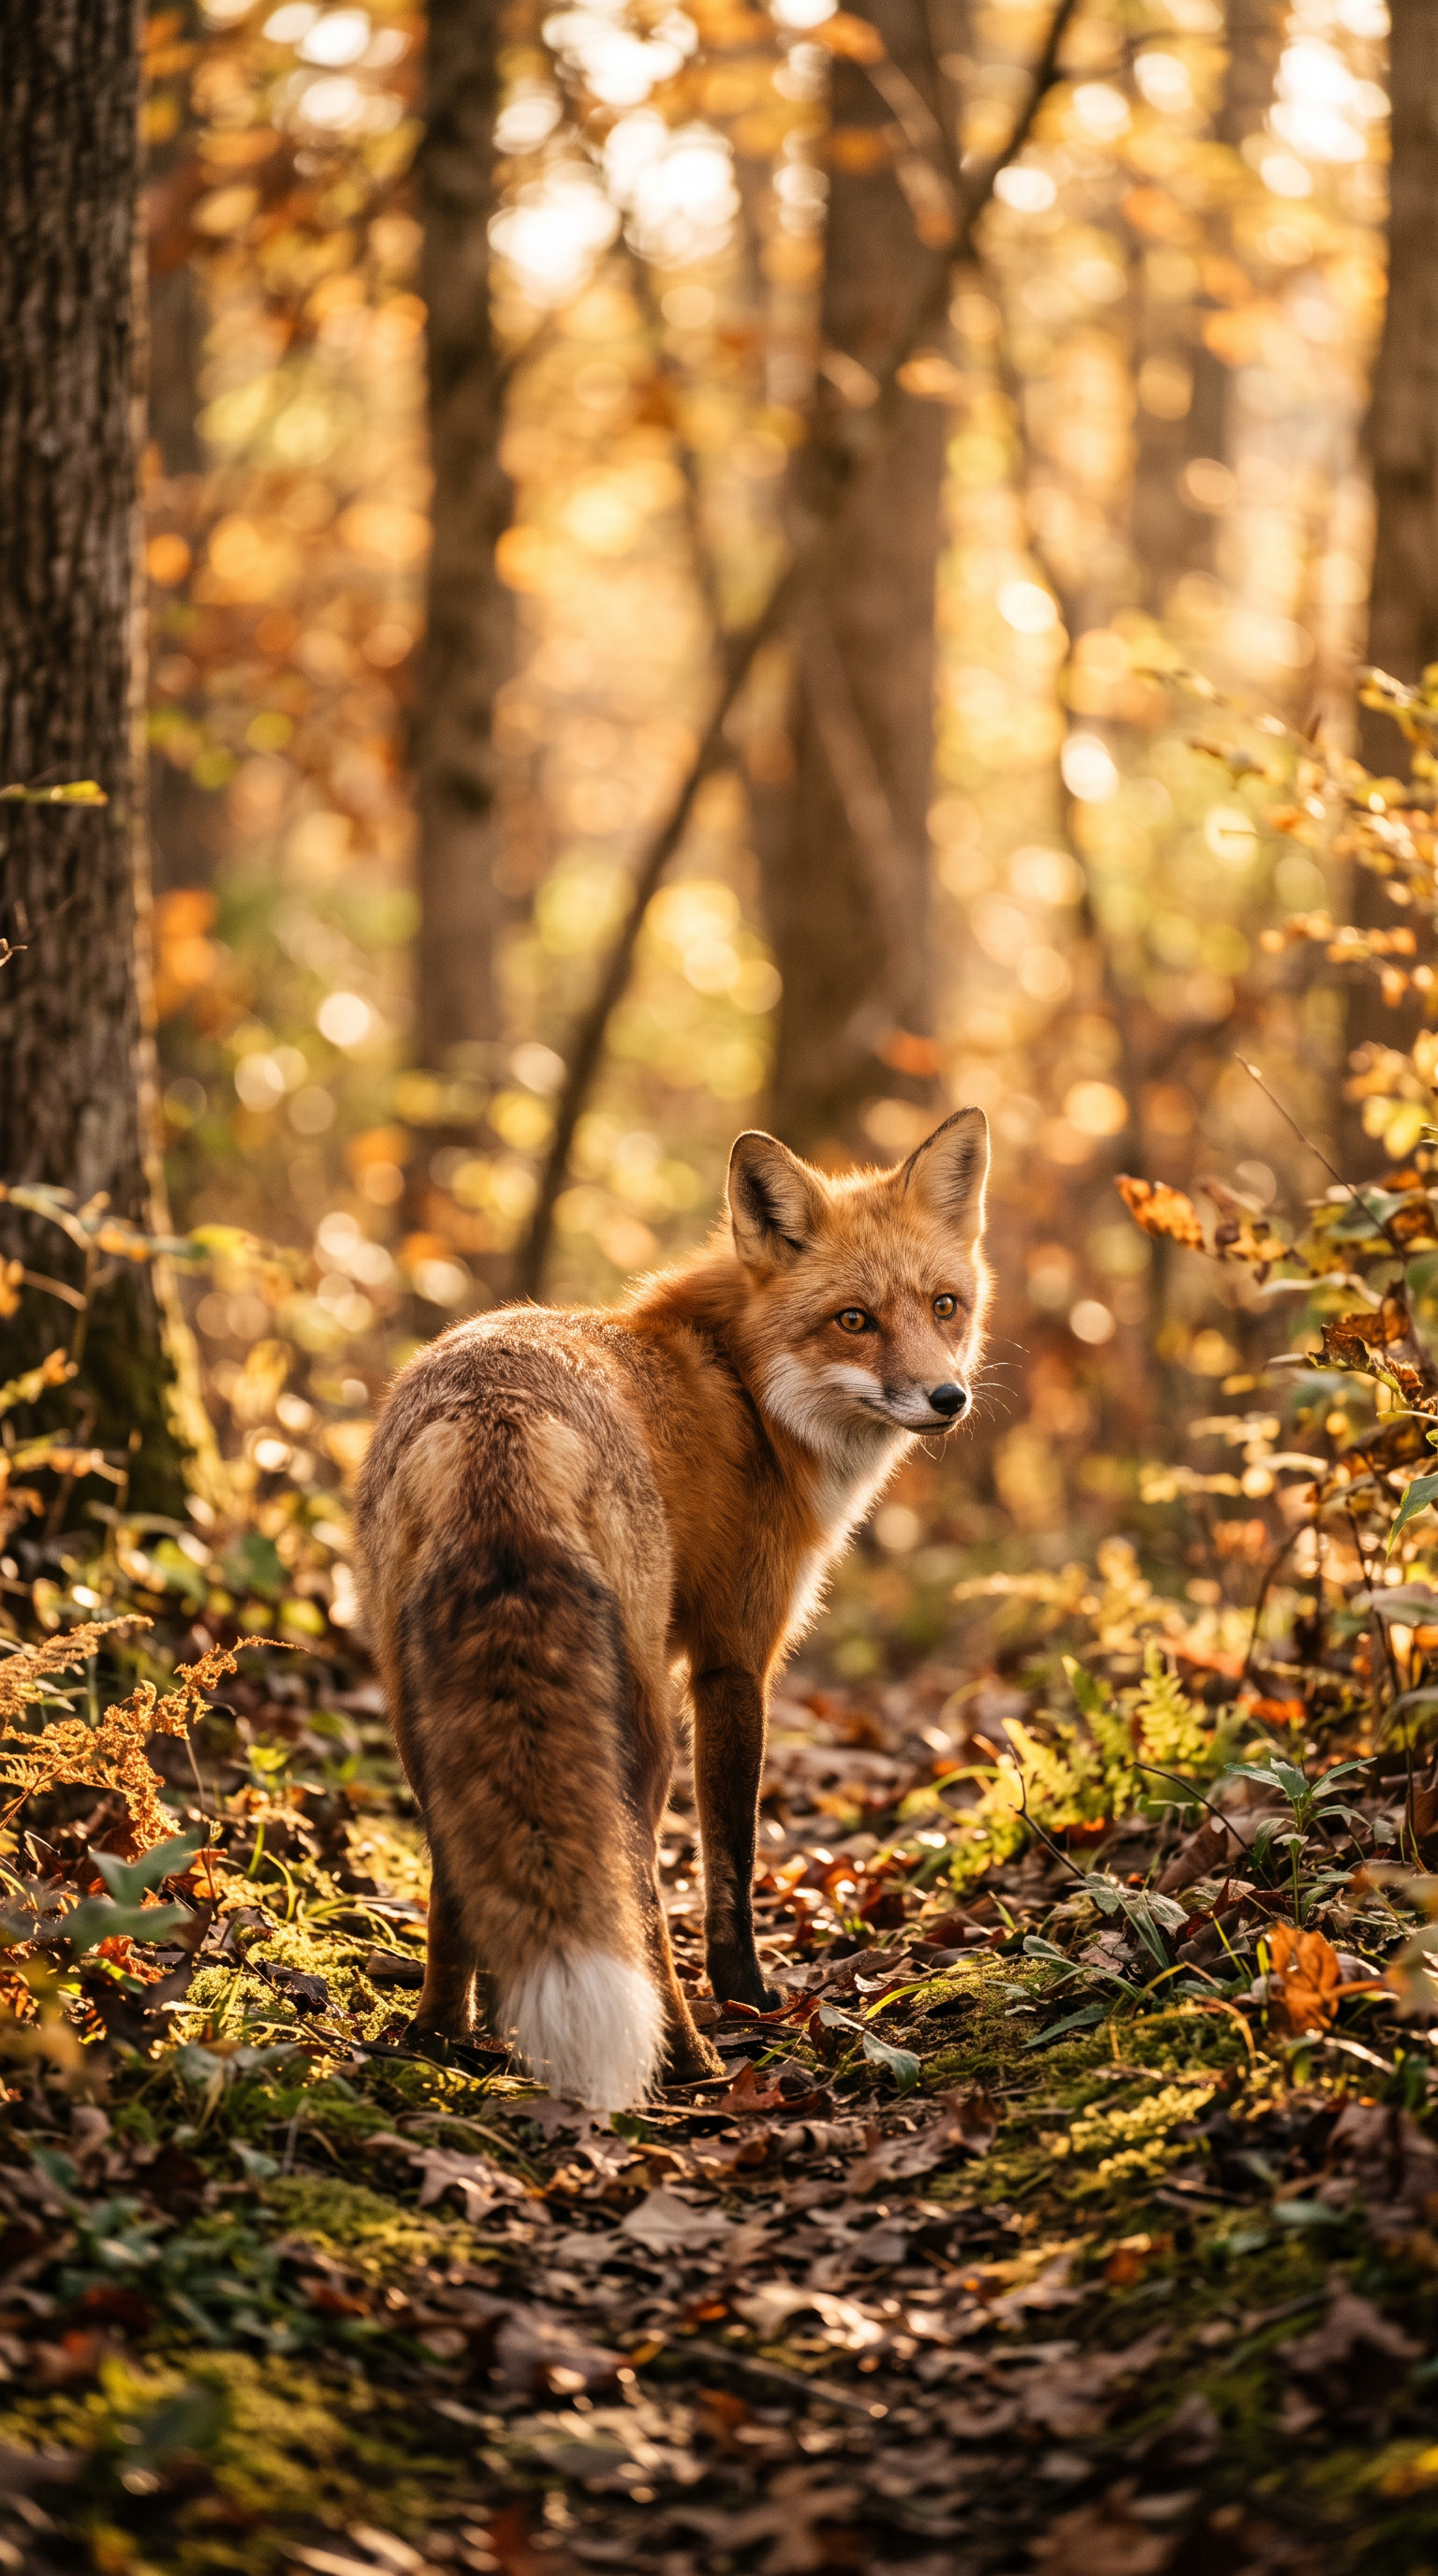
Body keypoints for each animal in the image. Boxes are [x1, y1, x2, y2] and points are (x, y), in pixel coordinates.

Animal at [352, 1106, 990, 2109]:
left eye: (944, 1306)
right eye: (853, 1320)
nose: (947, 1398)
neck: (748, 1389)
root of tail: (496, 1414)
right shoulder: (735, 1654)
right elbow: (731, 1856)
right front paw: (752, 1996)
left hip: (419, 1702)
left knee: (454, 1856)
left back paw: (440, 2038)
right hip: (639, 1715)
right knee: (639, 1889)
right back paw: (686, 2059)